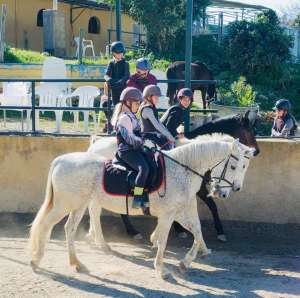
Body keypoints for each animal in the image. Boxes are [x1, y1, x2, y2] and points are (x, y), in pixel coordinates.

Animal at [28, 137, 253, 278]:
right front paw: (161, 269)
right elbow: (165, 240)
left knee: (71, 228)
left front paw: (185, 262)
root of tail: (60, 160)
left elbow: (197, 234)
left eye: (244, 167)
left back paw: (78, 262)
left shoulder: (183, 210)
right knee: (47, 225)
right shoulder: (169, 214)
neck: (182, 169)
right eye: (234, 166)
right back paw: (37, 259)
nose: (227, 192)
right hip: (66, 204)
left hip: (79, 204)